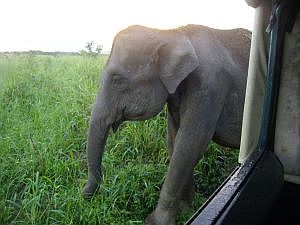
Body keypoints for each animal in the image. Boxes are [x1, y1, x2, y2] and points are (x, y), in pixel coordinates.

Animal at [82, 24, 251, 225]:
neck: (171, 34)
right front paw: (187, 211)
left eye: (117, 80)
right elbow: (174, 141)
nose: (84, 195)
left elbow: (189, 144)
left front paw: (155, 221)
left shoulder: (210, 88)